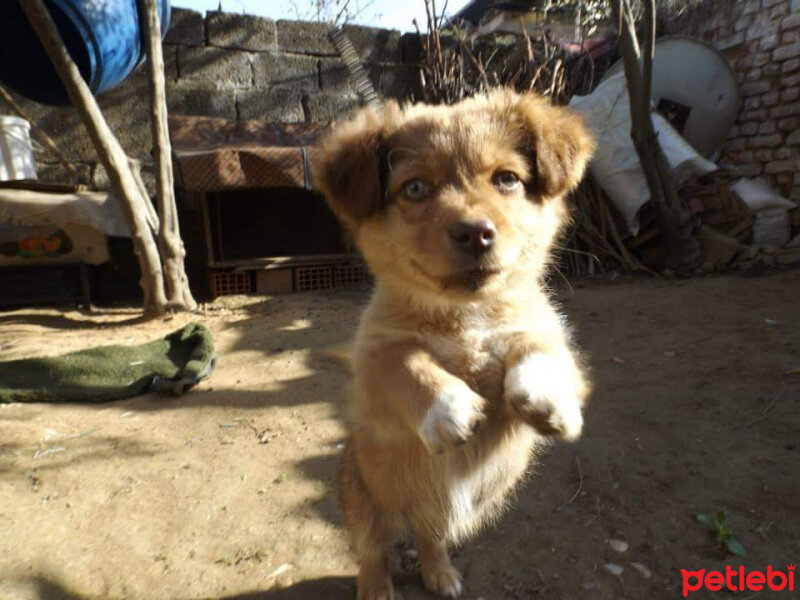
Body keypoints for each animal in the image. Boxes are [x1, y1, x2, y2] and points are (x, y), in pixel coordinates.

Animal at [312, 90, 592, 600]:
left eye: (506, 179)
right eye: (415, 189)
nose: (475, 233)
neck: (467, 317)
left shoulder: (553, 335)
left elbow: (537, 346)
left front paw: (544, 397)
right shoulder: (370, 369)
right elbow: (404, 361)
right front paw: (449, 408)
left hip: (438, 510)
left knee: (430, 534)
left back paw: (439, 573)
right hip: (362, 499)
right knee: (373, 550)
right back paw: (376, 586)